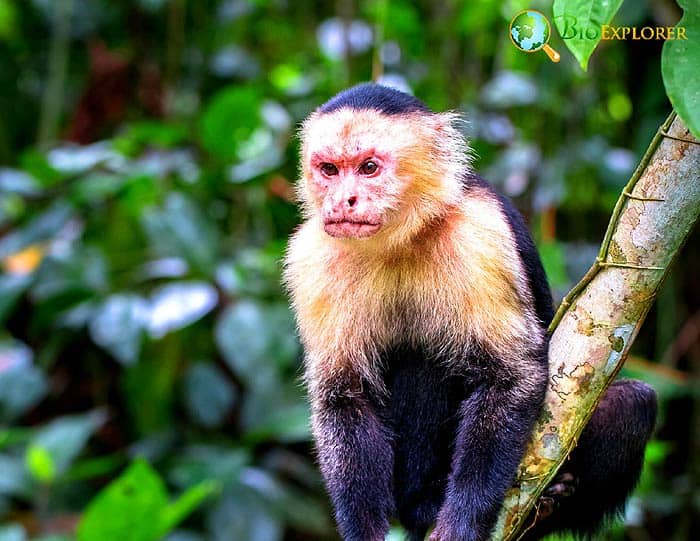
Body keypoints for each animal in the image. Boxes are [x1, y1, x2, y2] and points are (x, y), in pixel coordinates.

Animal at [283, 83, 657, 541]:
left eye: (369, 167)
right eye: (330, 169)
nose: (342, 200)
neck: (402, 238)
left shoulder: (481, 234)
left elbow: (509, 376)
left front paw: (461, 522)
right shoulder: (310, 257)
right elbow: (343, 396)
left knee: (634, 402)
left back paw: (548, 503)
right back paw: (424, 505)